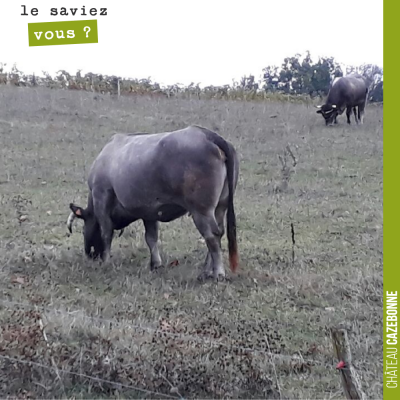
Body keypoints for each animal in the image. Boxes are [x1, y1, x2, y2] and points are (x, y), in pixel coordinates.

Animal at [67, 125, 239, 282]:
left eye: (83, 230)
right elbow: (151, 238)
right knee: (219, 232)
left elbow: (106, 233)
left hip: (201, 210)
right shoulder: (149, 212)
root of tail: (208, 134)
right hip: (220, 207)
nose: (90, 254)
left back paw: (218, 272)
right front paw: (156, 264)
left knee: (212, 236)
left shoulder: (101, 197)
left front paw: (106, 261)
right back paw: (207, 270)